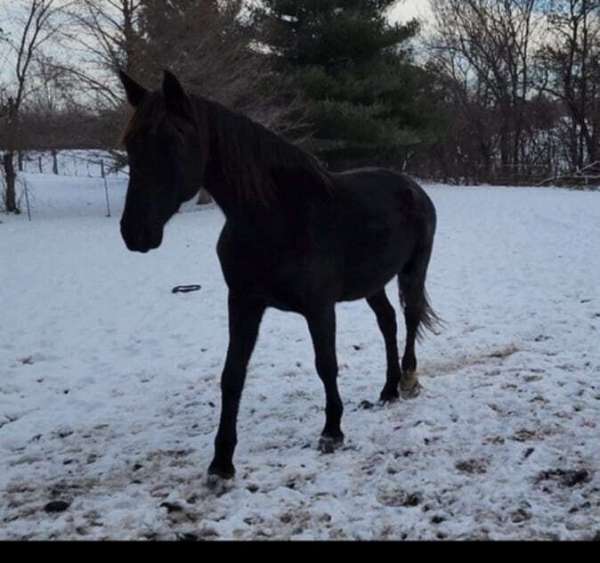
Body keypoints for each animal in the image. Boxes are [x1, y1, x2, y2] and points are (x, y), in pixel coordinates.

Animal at [119, 71, 438, 480]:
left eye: (171, 140)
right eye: (130, 142)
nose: (135, 232)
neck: (277, 216)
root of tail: (413, 188)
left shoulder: (319, 308)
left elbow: (326, 364)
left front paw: (332, 431)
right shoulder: (244, 302)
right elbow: (232, 375)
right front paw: (221, 462)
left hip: (413, 269)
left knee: (411, 316)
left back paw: (408, 380)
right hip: (372, 282)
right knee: (388, 322)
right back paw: (388, 389)